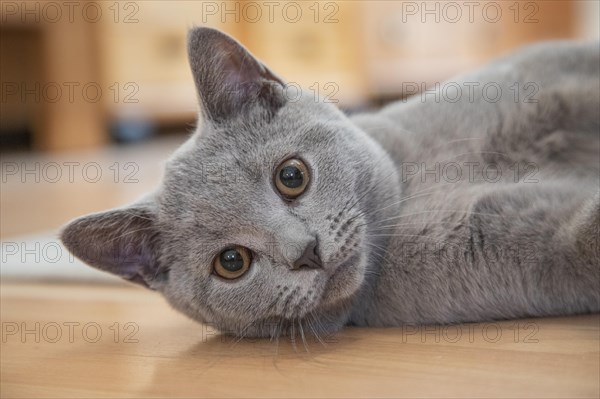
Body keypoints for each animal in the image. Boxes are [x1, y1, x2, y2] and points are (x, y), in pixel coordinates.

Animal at [62, 28, 600, 340]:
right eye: (232, 263)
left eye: (291, 176)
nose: (306, 251)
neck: (420, 170)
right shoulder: (522, 240)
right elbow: (576, 239)